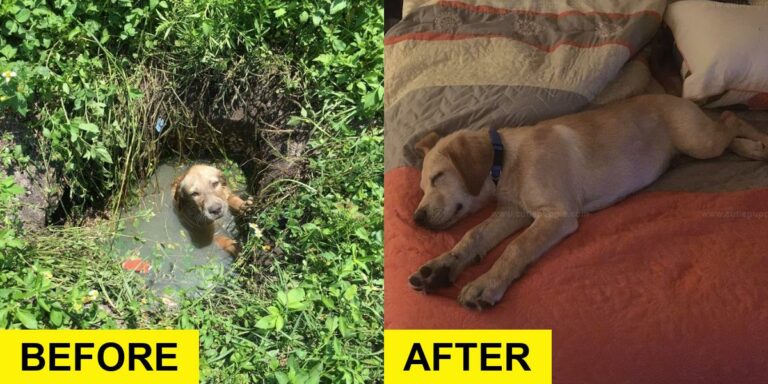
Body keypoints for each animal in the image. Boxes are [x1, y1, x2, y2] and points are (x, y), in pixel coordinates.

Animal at [408, 94, 768, 310]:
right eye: (423, 186)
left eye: (439, 177)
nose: (417, 219)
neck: (506, 160)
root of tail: (675, 95)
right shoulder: (514, 212)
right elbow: (473, 235)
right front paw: (441, 267)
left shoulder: (556, 214)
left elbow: (516, 247)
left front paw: (486, 285)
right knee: (728, 131)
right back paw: (750, 149)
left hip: (698, 141)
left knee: (730, 118)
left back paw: (759, 142)